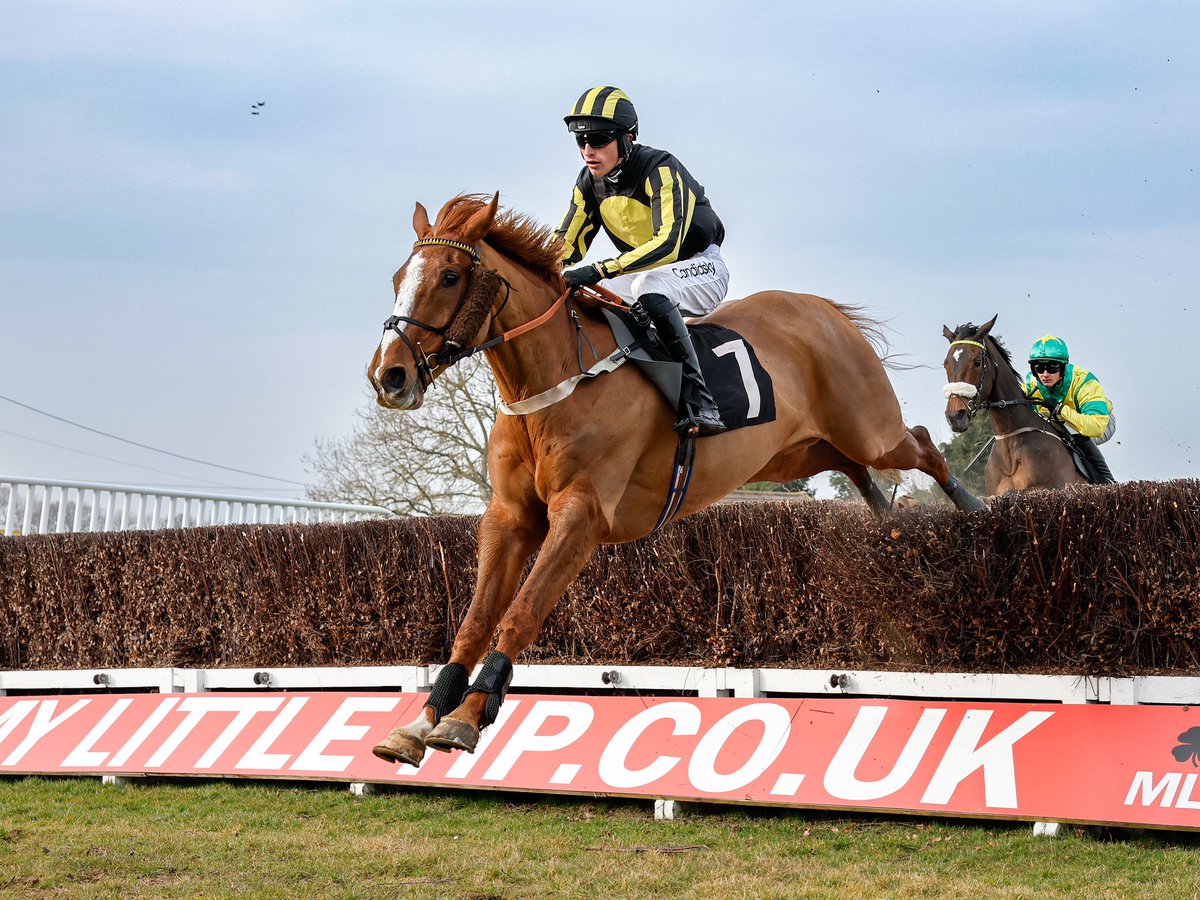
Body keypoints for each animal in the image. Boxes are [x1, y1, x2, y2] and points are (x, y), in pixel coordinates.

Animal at [368, 193, 985, 766]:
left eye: (449, 276)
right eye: (398, 278)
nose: (389, 375)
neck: (557, 380)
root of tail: (823, 310)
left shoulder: (581, 516)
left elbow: (520, 615)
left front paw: (468, 716)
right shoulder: (511, 518)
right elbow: (474, 622)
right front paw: (419, 723)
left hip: (868, 428)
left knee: (921, 443)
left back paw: (973, 509)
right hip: (794, 454)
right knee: (854, 467)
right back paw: (888, 522)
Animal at [942, 315, 1085, 494]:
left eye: (977, 361)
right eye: (946, 364)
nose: (955, 417)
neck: (1009, 446)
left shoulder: (1059, 485)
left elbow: (1012, 493)